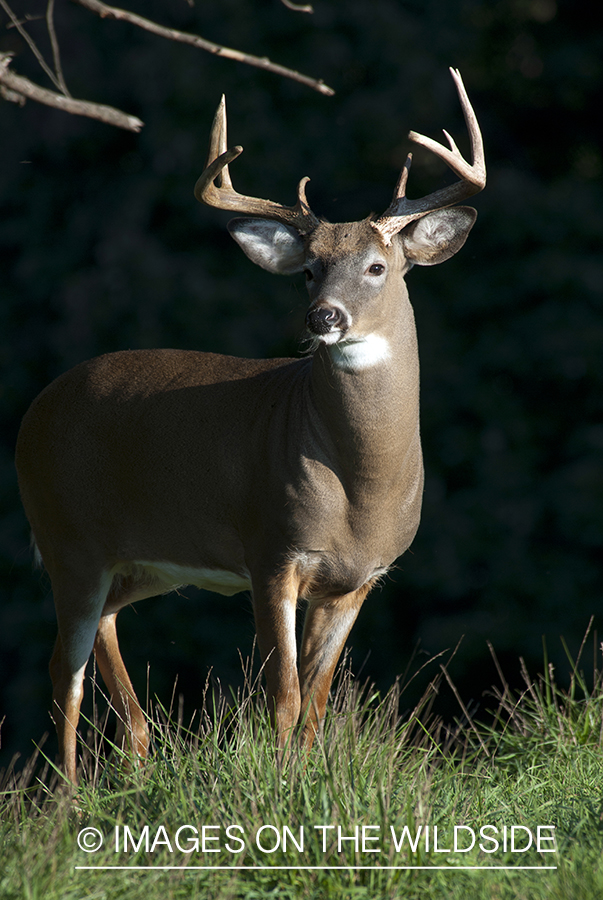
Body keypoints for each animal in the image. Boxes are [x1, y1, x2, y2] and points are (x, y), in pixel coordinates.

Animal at [14, 67, 486, 780]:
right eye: (310, 271)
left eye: (377, 267)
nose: (324, 317)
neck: (361, 486)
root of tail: (32, 415)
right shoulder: (272, 549)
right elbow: (282, 696)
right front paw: (285, 785)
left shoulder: (358, 579)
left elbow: (316, 703)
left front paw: (308, 781)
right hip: (66, 535)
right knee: (61, 672)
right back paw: (71, 796)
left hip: (142, 561)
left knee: (102, 632)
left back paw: (135, 759)